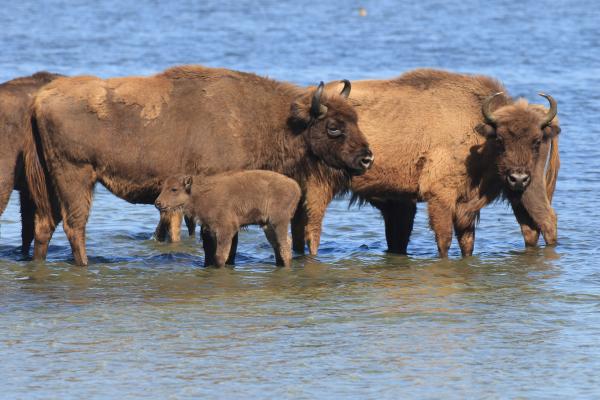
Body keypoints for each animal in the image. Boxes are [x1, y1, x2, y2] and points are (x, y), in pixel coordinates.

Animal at [155, 170, 300, 268]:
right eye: (162, 188)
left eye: (174, 189)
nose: (158, 203)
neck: (200, 193)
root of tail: (296, 187)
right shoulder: (211, 230)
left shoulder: (226, 229)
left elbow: (220, 256)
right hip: (267, 225)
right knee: (278, 244)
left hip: (279, 222)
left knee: (284, 245)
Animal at [292, 68, 560, 256]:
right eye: (501, 140)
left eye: (536, 141)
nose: (518, 177)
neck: (477, 126)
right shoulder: (440, 196)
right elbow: (445, 239)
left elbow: (466, 242)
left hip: (526, 192)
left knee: (540, 224)